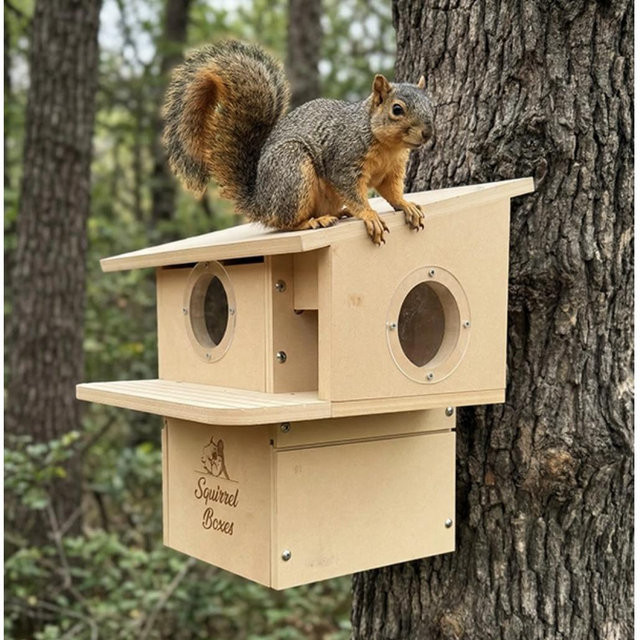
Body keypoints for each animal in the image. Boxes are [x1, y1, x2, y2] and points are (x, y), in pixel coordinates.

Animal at [162, 40, 434, 245]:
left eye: (432, 105)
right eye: (397, 109)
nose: (428, 133)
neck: (389, 146)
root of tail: (260, 201)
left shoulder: (392, 170)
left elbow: (392, 191)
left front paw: (406, 205)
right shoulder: (344, 161)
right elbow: (352, 192)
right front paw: (369, 214)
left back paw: (339, 213)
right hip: (293, 171)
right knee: (286, 222)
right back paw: (314, 221)